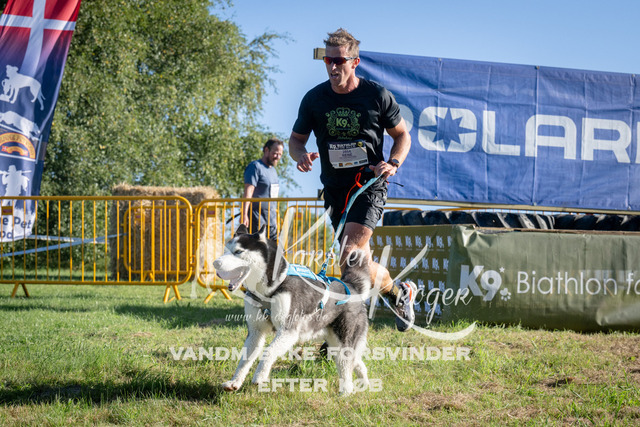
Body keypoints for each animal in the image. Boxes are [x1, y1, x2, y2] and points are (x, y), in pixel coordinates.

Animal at [213, 224, 370, 395]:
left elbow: (269, 351)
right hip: (334, 342)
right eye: (225, 251)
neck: (271, 289)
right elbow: (244, 360)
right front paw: (235, 382)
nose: (215, 263)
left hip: (343, 342)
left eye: (238, 252)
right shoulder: (256, 332)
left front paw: (260, 376)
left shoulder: (288, 331)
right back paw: (365, 384)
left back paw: (346, 391)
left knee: (346, 364)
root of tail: (352, 287)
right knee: (357, 362)